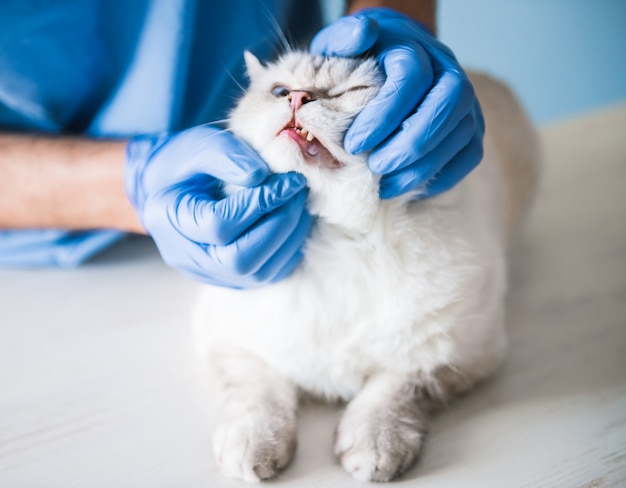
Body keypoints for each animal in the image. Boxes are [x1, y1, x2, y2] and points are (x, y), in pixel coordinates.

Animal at [193, 47, 540, 482]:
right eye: (279, 91)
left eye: (350, 91)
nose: (298, 98)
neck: (337, 236)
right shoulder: (230, 340)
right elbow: (258, 394)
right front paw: (254, 445)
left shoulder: (459, 353)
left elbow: (395, 388)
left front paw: (374, 445)